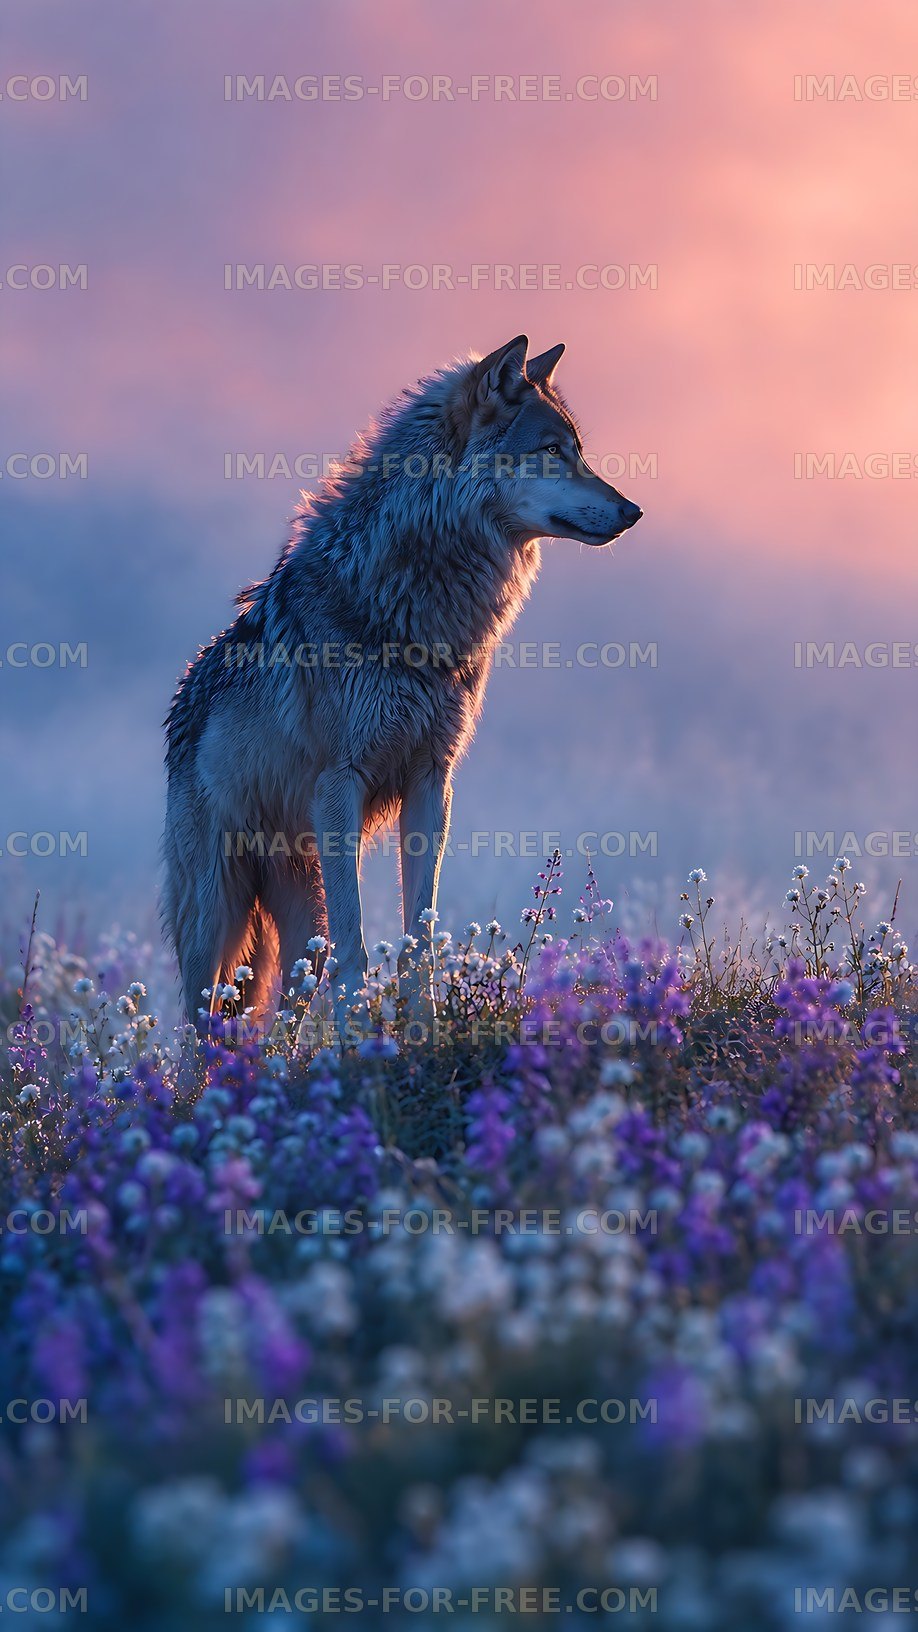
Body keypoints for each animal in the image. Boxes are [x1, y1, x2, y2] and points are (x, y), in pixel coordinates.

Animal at [164, 334, 642, 1028]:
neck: (417, 601)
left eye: (578, 450)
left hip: (296, 916)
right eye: (553, 451)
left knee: (283, 1012)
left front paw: (420, 1029)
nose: (633, 511)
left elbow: (420, 934)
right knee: (201, 1021)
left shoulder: (430, 782)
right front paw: (364, 1036)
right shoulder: (340, 786)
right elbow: (359, 948)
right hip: (217, 915)